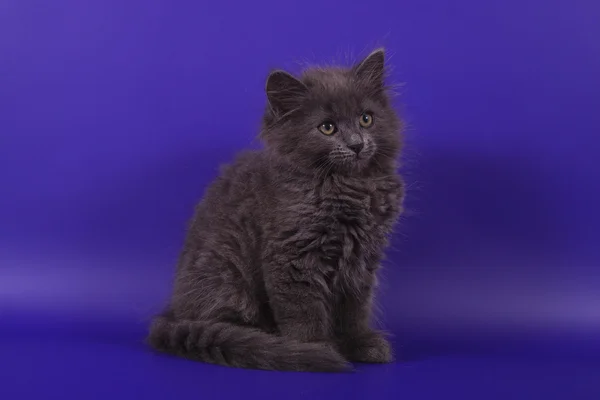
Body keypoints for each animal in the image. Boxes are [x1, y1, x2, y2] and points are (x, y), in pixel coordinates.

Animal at [148, 49, 406, 372]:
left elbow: (356, 309)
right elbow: (304, 314)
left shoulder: (362, 261)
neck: (348, 187)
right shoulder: (293, 257)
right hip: (225, 278)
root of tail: (172, 314)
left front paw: (360, 344)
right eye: (327, 127)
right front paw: (313, 349)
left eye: (366, 119)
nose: (357, 144)